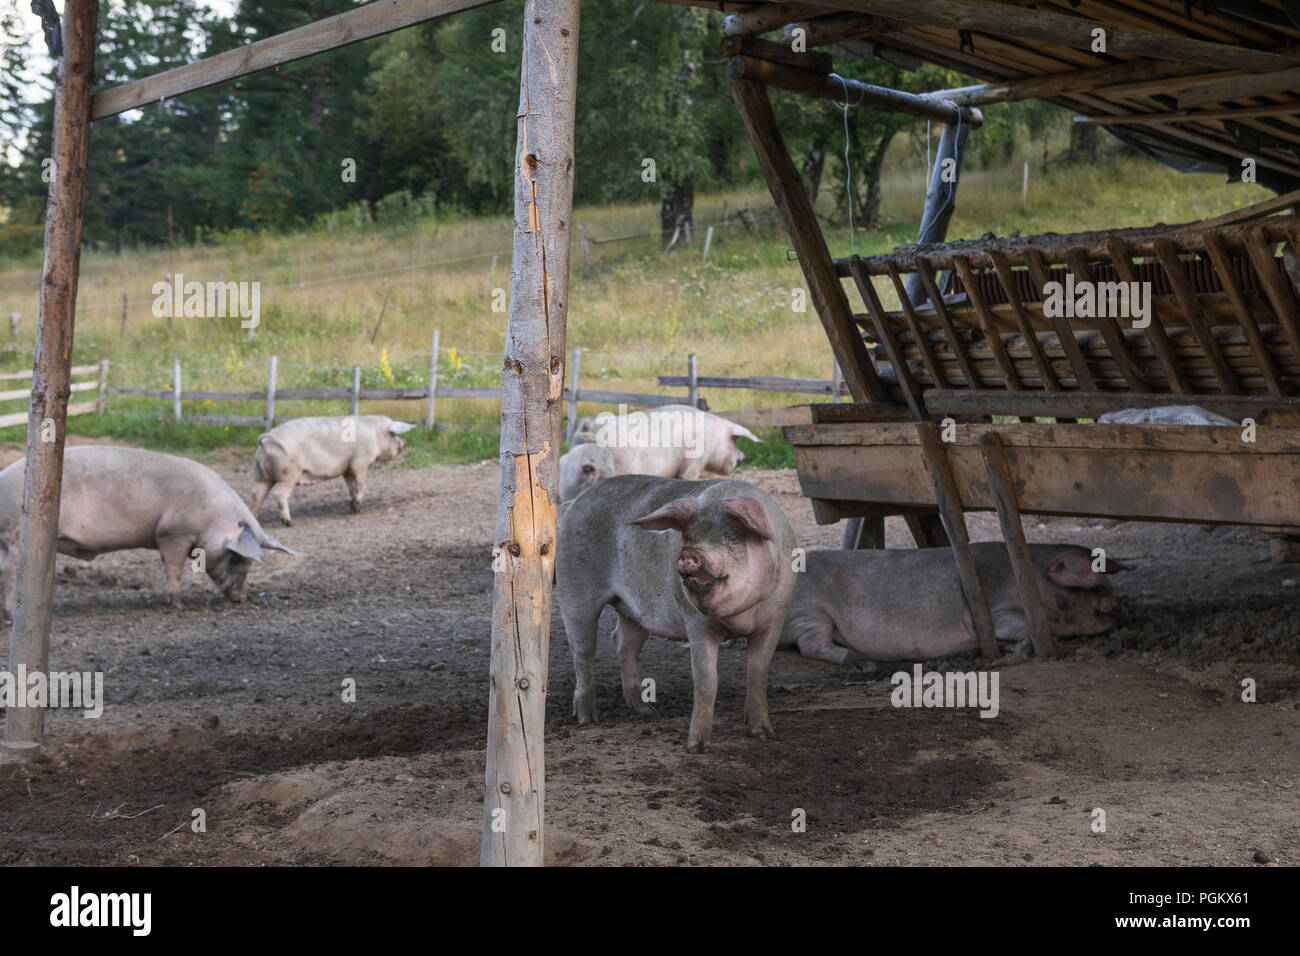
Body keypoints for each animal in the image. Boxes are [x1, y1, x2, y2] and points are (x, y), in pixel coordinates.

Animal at [0, 447, 295, 616]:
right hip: (16, 535)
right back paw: (13, 615)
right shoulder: (172, 533)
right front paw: (177, 605)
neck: (212, 515)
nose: (240, 599)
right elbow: (174, 568)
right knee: (11, 572)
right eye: (236, 557)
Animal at [250, 416, 413, 528]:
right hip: (289, 473)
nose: (404, 443)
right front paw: (357, 507)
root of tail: (266, 443)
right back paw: (289, 522)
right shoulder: (359, 463)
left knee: (257, 495)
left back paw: (255, 520)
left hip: (261, 476)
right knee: (279, 494)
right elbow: (361, 485)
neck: (375, 435)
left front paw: (353, 508)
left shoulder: (347, 469)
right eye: (393, 434)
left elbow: (351, 488)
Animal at [556, 476, 795, 749]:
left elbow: (758, 673)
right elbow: (706, 680)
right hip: (575, 588)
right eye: (689, 537)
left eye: (732, 537)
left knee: (622, 642)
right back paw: (587, 718)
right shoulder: (696, 622)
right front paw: (697, 747)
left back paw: (646, 710)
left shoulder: (776, 618)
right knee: (583, 650)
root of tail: (574, 503)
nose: (690, 553)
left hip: (634, 612)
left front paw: (763, 734)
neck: (739, 617)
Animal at [780, 541, 1128, 671]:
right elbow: (1025, 626)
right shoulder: (986, 612)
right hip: (809, 612)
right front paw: (1009, 653)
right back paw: (862, 661)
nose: (1117, 599)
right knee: (811, 646)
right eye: (1088, 584)